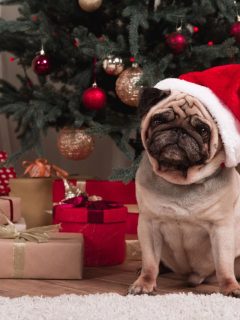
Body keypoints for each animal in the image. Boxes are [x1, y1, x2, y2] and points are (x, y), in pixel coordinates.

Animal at [129, 84, 240, 296]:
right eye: (158, 120)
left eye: (203, 129)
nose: (179, 130)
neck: (180, 182)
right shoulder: (149, 224)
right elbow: (150, 263)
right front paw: (144, 283)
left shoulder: (221, 228)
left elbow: (224, 265)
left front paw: (230, 287)